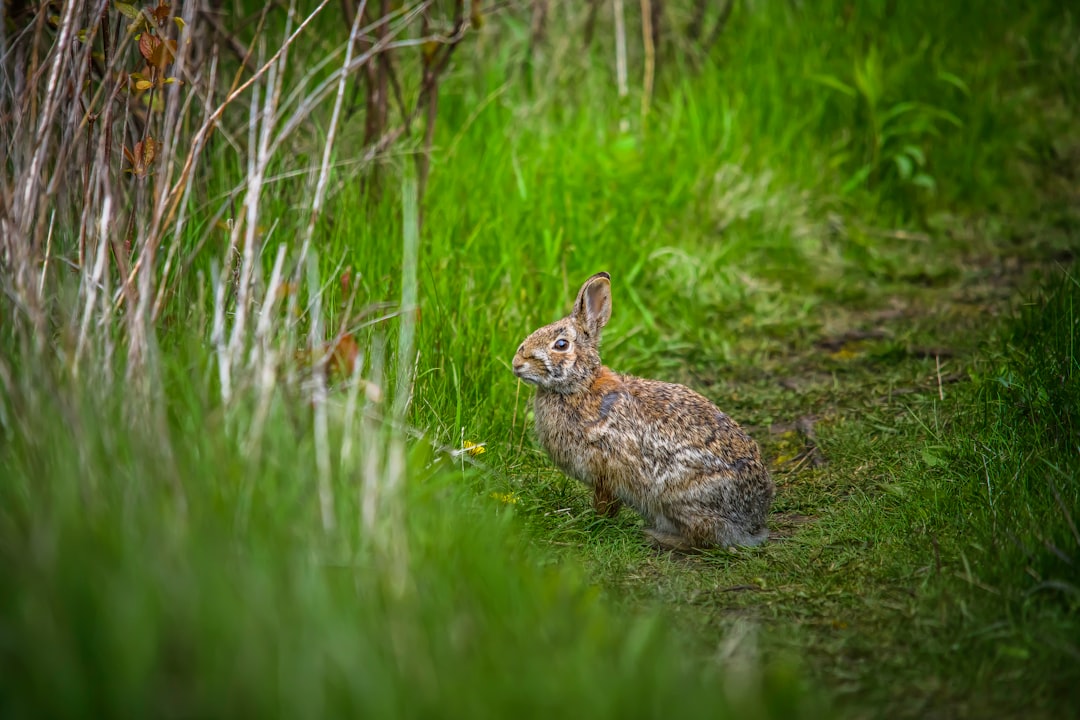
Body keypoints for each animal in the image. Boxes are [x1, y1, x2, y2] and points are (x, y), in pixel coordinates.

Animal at [509, 272, 773, 552]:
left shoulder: (606, 472)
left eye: (561, 345)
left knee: (703, 538)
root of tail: (752, 522)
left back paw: (655, 536)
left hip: (676, 496)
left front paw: (593, 522)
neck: (579, 386)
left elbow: (605, 504)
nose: (517, 364)